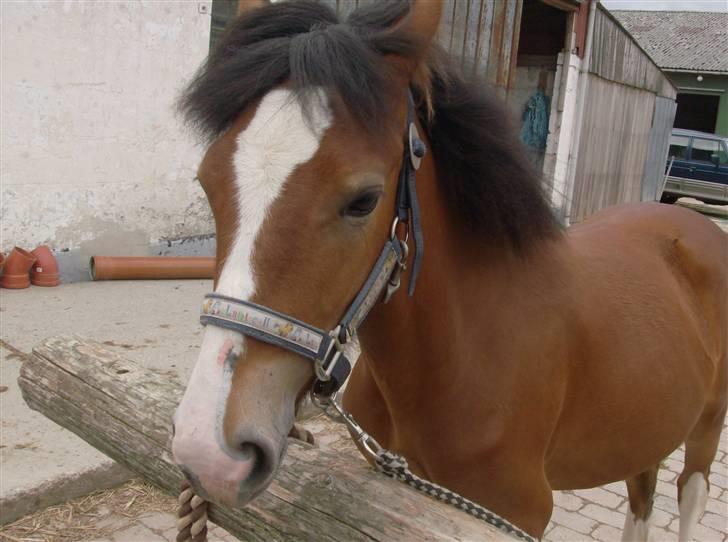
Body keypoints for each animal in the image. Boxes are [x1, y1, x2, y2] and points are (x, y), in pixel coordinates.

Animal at [172, 2, 728, 540]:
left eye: (364, 200)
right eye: (206, 183)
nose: (209, 451)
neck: (462, 357)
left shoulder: (517, 514)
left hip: (706, 428)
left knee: (690, 494)